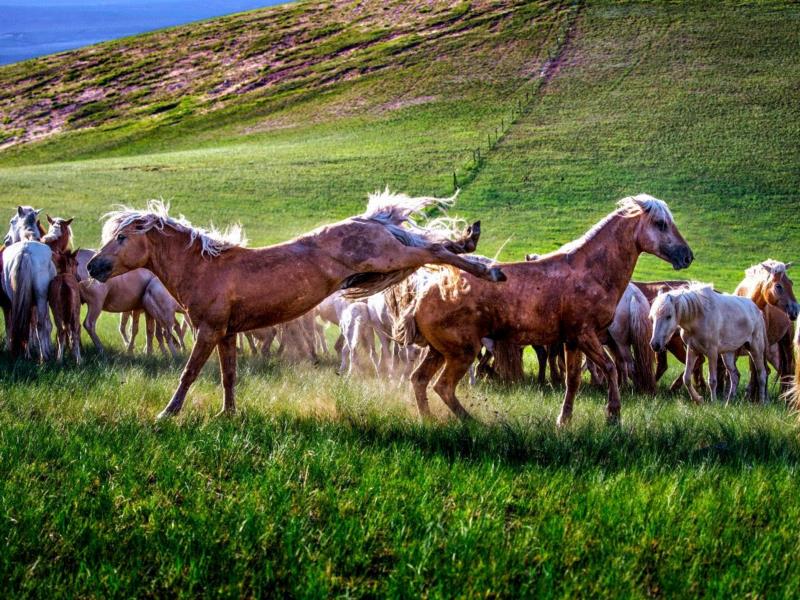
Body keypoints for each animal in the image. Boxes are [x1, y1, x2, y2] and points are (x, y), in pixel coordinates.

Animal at [87, 193, 504, 419]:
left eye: (122, 237)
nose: (93, 267)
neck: (206, 267)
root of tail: (368, 220)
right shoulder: (226, 333)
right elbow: (228, 376)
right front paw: (228, 414)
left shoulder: (207, 330)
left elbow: (188, 373)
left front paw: (167, 413)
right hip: (389, 261)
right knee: (431, 247)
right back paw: (475, 246)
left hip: (387, 257)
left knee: (433, 249)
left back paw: (486, 264)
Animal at [397, 194, 693, 425]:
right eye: (661, 223)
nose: (687, 256)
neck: (590, 272)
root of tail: (423, 294)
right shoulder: (586, 335)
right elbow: (610, 369)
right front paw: (613, 416)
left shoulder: (572, 341)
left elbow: (573, 380)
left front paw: (564, 420)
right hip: (462, 351)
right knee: (443, 386)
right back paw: (474, 423)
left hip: (439, 350)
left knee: (419, 380)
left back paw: (429, 421)